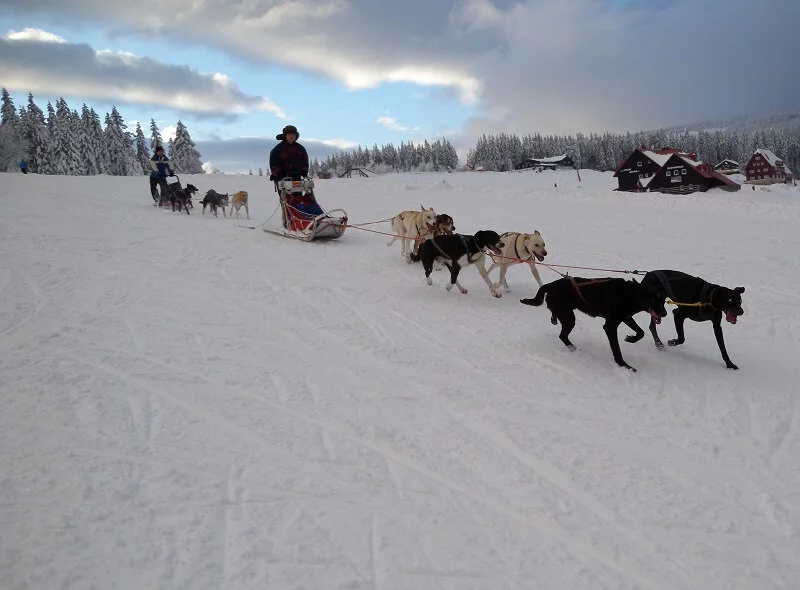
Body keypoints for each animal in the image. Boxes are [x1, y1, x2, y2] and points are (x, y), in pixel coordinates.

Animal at [520, 278, 664, 372]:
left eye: (662, 300)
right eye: (652, 299)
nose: (665, 313)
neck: (628, 294)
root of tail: (551, 284)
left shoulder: (626, 318)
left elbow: (641, 332)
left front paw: (630, 339)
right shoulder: (610, 326)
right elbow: (617, 350)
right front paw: (624, 366)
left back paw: (554, 319)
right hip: (569, 318)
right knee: (562, 335)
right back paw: (573, 348)